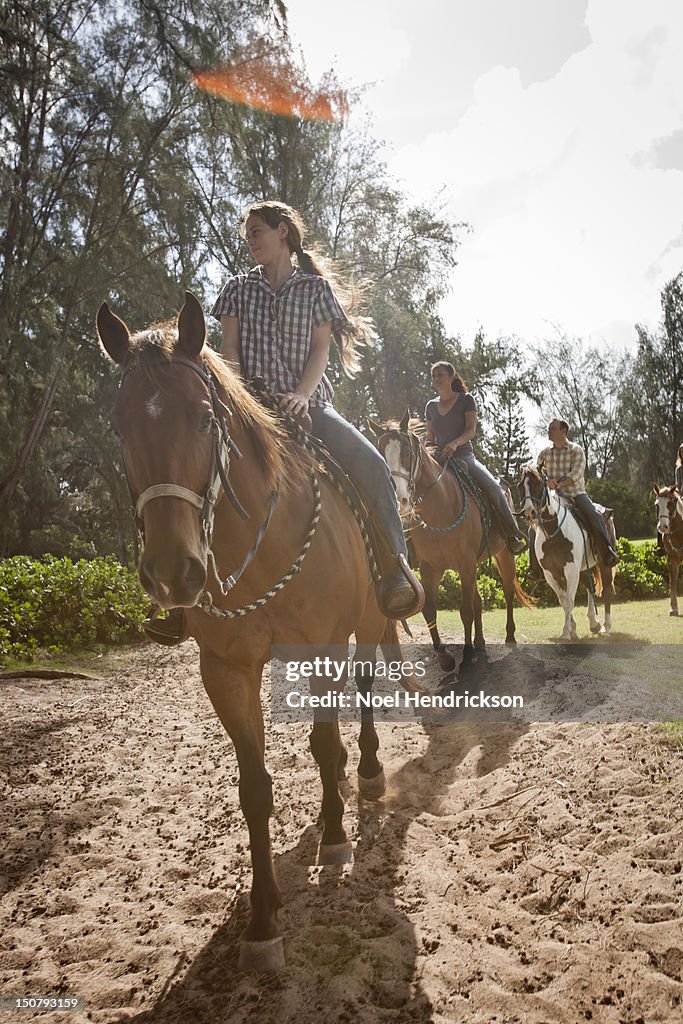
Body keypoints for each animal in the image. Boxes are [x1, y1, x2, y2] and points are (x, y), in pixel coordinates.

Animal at [97, 292, 405, 970]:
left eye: (202, 420)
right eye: (120, 427)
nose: (173, 573)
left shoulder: (323, 648)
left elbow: (322, 743)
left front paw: (335, 837)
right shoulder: (228, 671)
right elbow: (255, 790)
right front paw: (263, 920)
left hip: (370, 621)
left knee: (366, 687)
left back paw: (366, 772)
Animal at [370, 411, 532, 667]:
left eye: (407, 452)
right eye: (382, 454)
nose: (400, 499)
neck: (441, 507)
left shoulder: (465, 563)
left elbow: (465, 610)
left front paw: (466, 655)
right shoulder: (431, 568)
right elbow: (430, 610)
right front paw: (444, 655)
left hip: (503, 555)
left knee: (507, 592)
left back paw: (509, 637)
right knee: (478, 601)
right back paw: (480, 642)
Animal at [520, 466, 618, 638]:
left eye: (538, 484)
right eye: (520, 486)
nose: (529, 513)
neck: (553, 533)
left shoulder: (571, 570)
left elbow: (569, 600)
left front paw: (566, 632)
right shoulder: (550, 573)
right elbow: (563, 600)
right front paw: (572, 629)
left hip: (604, 563)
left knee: (606, 589)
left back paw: (606, 626)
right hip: (584, 567)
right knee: (590, 588)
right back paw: (594, 623)